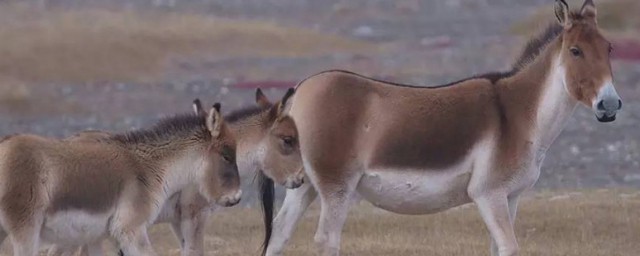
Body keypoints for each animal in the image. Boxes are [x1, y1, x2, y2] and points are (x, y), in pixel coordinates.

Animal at [0, 103, 242, 255]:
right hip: (26, 230)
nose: (237, 198)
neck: (149, 168)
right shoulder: (130, 229)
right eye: (227, 155)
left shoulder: (98, 237)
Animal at [264, 1, 620, 255]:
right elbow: (510, 247)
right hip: (336, 185)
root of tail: (301, 90)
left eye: (609, 48)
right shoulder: (488, 193)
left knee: (278, 234)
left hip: (305, 183)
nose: (610, 105)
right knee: (327, 239)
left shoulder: (512, 195)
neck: (520, 113)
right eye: (575, 51)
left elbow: (497, 248)